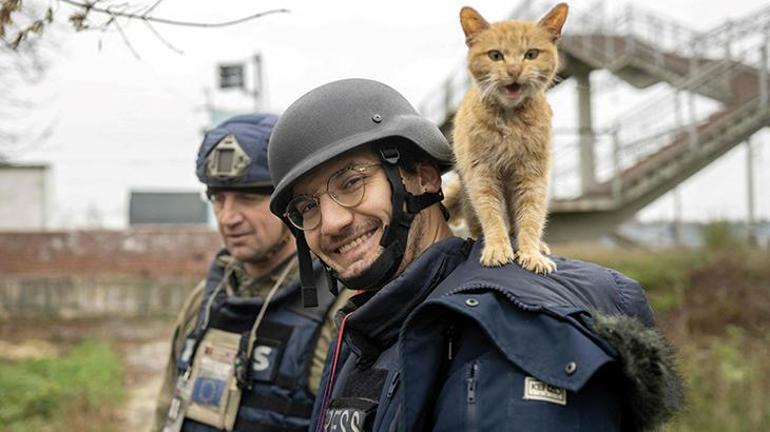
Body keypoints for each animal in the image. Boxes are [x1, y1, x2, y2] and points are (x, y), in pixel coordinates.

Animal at [448, 3, 568, 274]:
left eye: (531, 54)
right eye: (495, 56)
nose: (514, 70)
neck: (511, 121)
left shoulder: (532, 175)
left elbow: (531, 218)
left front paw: (532, 253)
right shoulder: (482, 174)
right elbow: (492, 215)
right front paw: (496, 248)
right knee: (477, 223)